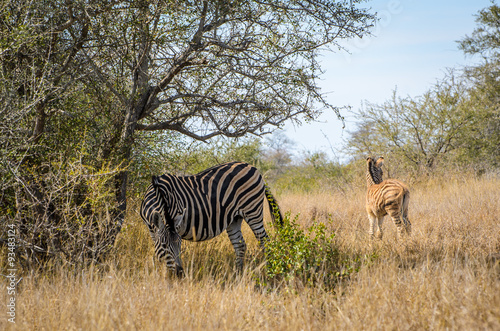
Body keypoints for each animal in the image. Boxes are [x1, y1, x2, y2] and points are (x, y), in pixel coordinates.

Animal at [140, 162, 282, 276]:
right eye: (164, 245)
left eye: (179, 244)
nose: (180, 273)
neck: (159, 195)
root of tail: (253, 167)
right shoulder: (152, 229)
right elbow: (158, 251)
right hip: (235, 218)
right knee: (240, 246)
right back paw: (237, 275)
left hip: (253, 211)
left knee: (265, 242)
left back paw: (270, 273)